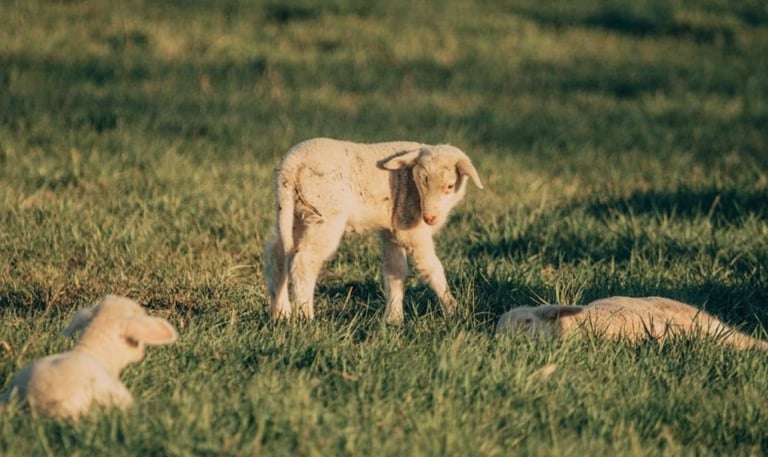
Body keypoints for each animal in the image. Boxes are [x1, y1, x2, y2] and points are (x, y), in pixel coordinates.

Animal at [263, 137, 483, 324]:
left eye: (450, 186)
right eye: (420, 181)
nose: (429, 218)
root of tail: (291, 165)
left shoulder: (391, 230)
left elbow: (395, 272)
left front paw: (394, 319)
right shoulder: (411, 232)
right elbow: (432, 269)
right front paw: (454, 309)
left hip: (293, 213)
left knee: (276, 256)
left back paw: (280, 313)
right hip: (324, 213)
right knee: (304, 260)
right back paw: (305, 316)